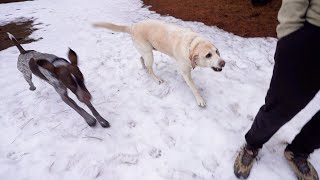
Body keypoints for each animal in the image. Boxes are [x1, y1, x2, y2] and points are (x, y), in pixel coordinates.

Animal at [93, 19, 225, 107]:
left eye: (216, 51)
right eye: (208, 55)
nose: (223, 63)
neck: (191, 45)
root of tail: (133, 26)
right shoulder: (185, 69)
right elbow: (193, 87)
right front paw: (199, 99)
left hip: (146, 52)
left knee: (141, 59)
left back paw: (144, 67)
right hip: (149, 54)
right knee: (150, 70)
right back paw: (157, 79)